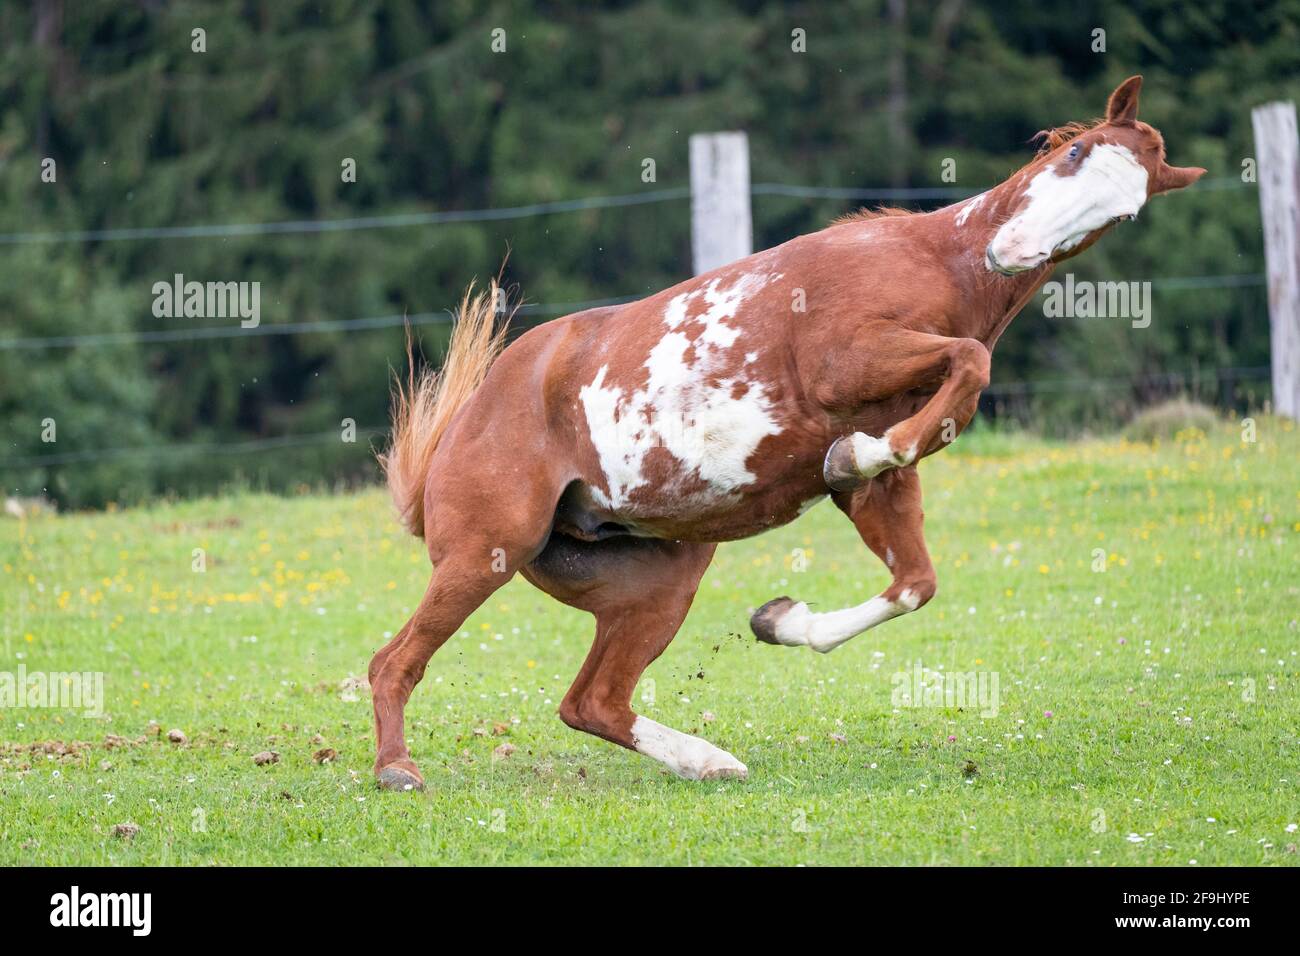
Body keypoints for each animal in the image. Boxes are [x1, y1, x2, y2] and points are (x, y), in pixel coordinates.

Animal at [368, 75, 1204, 790]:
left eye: (1126, 209)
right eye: (1074, 152)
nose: (1014, 252)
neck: (931, 263)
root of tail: (468, 422)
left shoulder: (885, 487)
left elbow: (914, 577)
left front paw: (782, 617)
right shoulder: (846, 364)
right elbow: (968, 365)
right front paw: (853, 456)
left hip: (658, 583)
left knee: (591, 702)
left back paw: (708, 761)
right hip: (484, 554)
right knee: (394, 663)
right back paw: (398, 770)